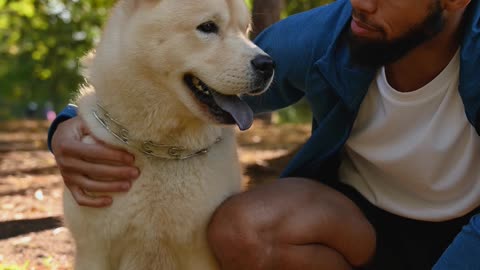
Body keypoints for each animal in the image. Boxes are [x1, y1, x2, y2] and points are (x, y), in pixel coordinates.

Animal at [63, 0, 274, 268]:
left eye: (245, 29)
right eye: (208, 27)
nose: (268, 64)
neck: (160, 147)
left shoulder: (200, 254)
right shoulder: (94, 251)